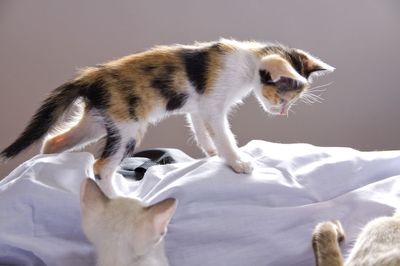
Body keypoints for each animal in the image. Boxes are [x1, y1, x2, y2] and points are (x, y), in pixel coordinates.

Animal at [0, 39, 334, 195]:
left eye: (291, 102)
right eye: (282, 96)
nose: (283, 113)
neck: (247, 61)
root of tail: (90, 77)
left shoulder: (198, 108)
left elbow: (202, 132)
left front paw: (212, 154)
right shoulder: (213, 106)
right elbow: (224, 136)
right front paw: (238, 162)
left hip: (96, 121)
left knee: (53, 141)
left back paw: (40, 167)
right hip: (127, 127)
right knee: (101, 167)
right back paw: (119, 197)